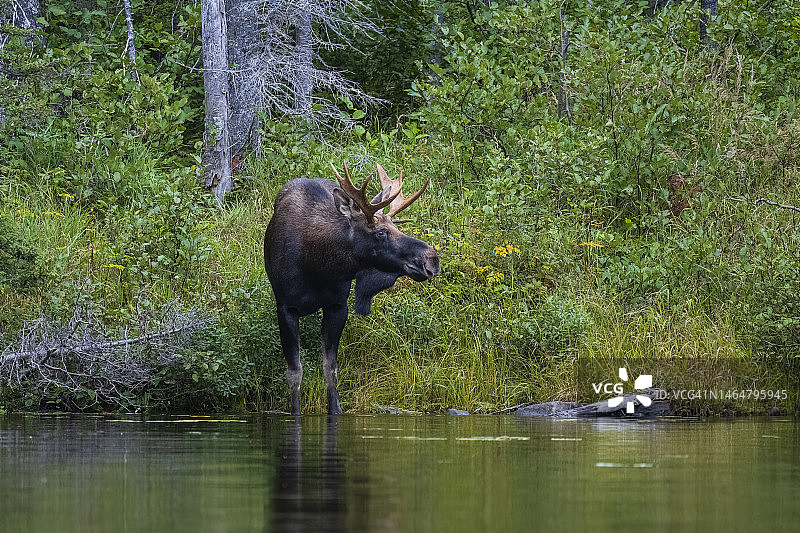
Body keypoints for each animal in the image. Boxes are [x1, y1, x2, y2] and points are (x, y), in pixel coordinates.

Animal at [264, 162, 440, 416]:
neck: (317, 265)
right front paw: (294, 411)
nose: (431, 259)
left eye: (395, 227)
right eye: (380, 232)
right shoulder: (285, 307)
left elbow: (331, 368)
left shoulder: (338, 305)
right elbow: (294, 371)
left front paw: (335, 409)